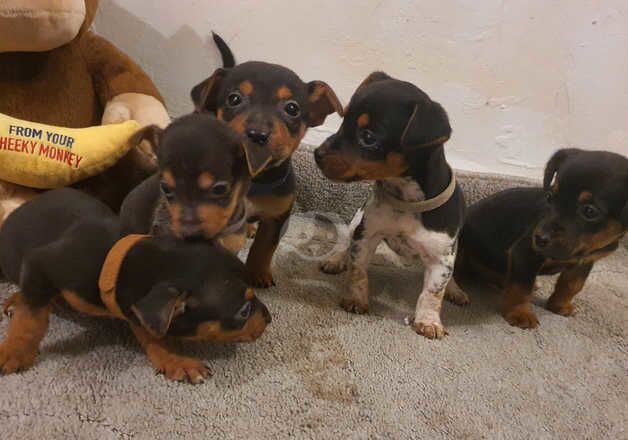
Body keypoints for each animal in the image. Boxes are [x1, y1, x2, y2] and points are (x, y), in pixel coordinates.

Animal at [0, 187, 270, 384]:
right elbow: (30, 320)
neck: (119, 259)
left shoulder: (133, 306)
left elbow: (152, 335)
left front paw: (175, 361)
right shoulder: (41, 262)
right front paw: (14, 352)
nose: (269, 318)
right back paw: (18, 300)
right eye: (244, 311)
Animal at [190, 32, 344, 288]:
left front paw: (258, 273)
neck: (255, 177)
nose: (257, 134)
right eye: (234, 99)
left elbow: (264, 248)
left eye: (292, 108)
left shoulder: (276, 217)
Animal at [314, 72, 466, 340]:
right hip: (357, 220)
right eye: (343, 121)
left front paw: (429, 321)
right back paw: (335, 259)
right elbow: (358, 271)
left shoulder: (441, 257)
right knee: (345, 242)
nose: (317, 154)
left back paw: (455, 290)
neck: (405, 199)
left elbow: (432, 292)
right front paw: (356, 299)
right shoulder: (366, 235)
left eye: (368, 137)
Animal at [448, 150, 628, 328]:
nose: (539, 238)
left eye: (590, 211)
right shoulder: (525, 253)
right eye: (550, 197)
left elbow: (572, 285)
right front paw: (519, 313)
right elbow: (521, 288)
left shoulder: (585, 261)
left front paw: (559, 305)